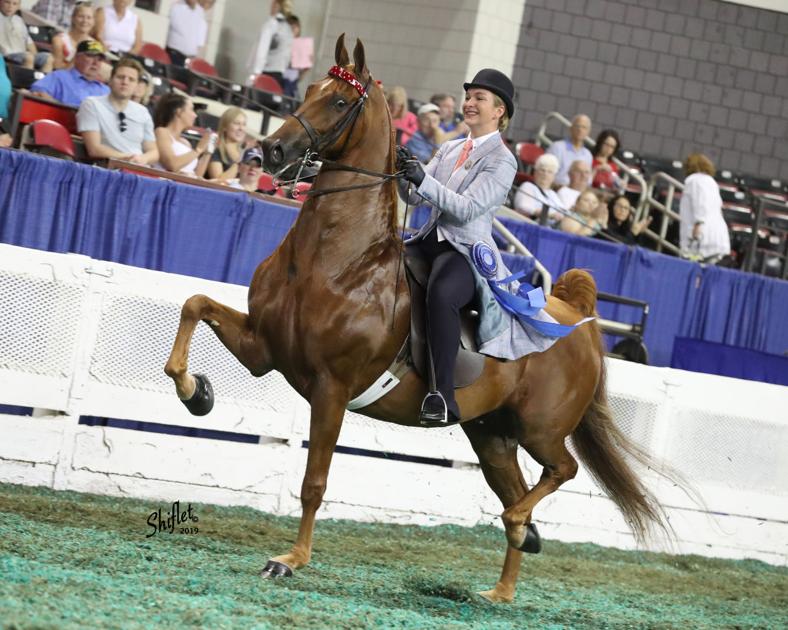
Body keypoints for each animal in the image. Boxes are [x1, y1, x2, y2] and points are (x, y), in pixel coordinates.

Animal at [164, 35, 668, 603]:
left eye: (340, 101)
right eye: (311, 89)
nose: (268, 152)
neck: (337, 260)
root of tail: (576, 317)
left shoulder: (330, 388)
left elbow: (314, 481)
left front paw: (290, 560)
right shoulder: (264, 350)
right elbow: (195, 305)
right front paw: (197, 393)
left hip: (540, 428)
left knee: (562, 470)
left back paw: (520, 527)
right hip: (492, 436)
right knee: (518, 488)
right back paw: (503, 584)